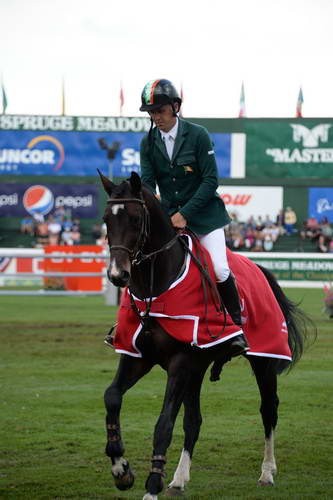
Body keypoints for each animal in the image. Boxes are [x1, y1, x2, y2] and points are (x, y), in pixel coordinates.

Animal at [97, 170, 310, 498]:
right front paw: (121, 468)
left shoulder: (180, 363)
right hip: (197, 369)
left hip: (262, 361)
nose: (118, 275)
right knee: (194, 421)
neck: (157, 287)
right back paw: (179, 478)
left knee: (268, 410)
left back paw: (267, 471)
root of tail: (260, 268)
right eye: (107, 218)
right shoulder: (138, 357)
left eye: (134, 218)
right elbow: (112, 397)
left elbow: (163, 424)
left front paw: (152, 485)